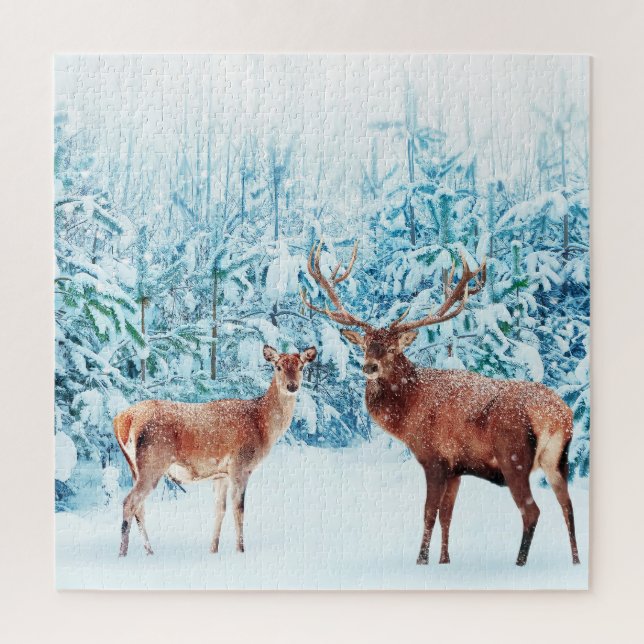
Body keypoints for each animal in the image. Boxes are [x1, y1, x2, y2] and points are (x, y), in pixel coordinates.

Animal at [113, 344, 317, 557]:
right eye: (278, 366)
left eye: (301, 366)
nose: (292, 386)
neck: (262, 425)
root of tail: (121, 420)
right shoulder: (240, 465)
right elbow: (239, 508)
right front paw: (240, 550)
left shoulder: (221, 474)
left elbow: (220, 510)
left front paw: (213, 550)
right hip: (153, 461)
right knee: (130, 502)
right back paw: (123, 554)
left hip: (135, 467)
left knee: (140, 507)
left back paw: (149, 552)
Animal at [301, 240, 579, 567]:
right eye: (366, 344)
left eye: (393, 348)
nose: (369, 366)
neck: (407, 415)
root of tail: (558, 415)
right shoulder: (456, 467)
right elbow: (447, 515)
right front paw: (445, 560)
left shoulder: (433, 459)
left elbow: (429, 514)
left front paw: (421, 561)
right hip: (558, 460)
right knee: (568, 505)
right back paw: (575, 561)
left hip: (513, 456)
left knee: (532, 511)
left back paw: (519, 564)